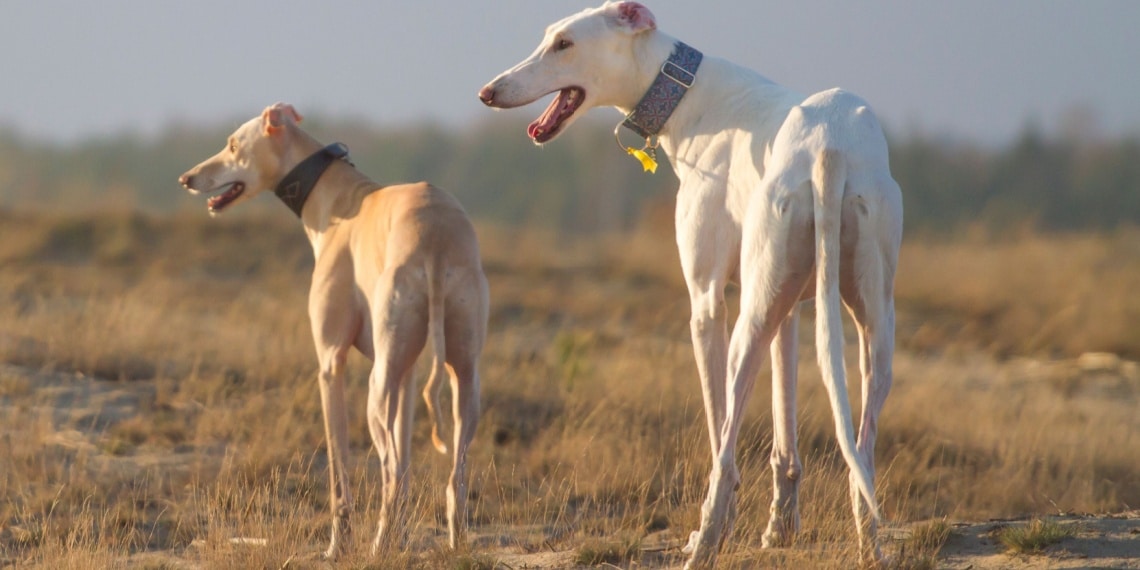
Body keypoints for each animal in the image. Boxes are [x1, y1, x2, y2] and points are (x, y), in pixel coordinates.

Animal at [177, 102, 485, 556]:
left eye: (233, 145)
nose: (187, 178)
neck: (336, 197)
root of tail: (435, 238)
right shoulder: (407, 374)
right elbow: (407, 466)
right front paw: (401, 540)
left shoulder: (329, 364)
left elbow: (341, 471)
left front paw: (339, 546)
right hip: (461, 376)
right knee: (449, 473)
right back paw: (453, 543)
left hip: (376, 390)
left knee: (388, 466)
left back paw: (377, 546)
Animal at [481, 3, 898, 565]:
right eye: (549, 37)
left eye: (564, 44)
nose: (488, 92)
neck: (692, 95)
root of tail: (828, 147)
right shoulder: (787, 306)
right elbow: (785, 430)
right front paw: (779, 529)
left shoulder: (707, 302)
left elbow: (720, 424)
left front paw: (728, 529)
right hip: (868, 322)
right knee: (864, 446)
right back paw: (869, 543)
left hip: (747, 326)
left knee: (724, 444)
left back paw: (703, 542)